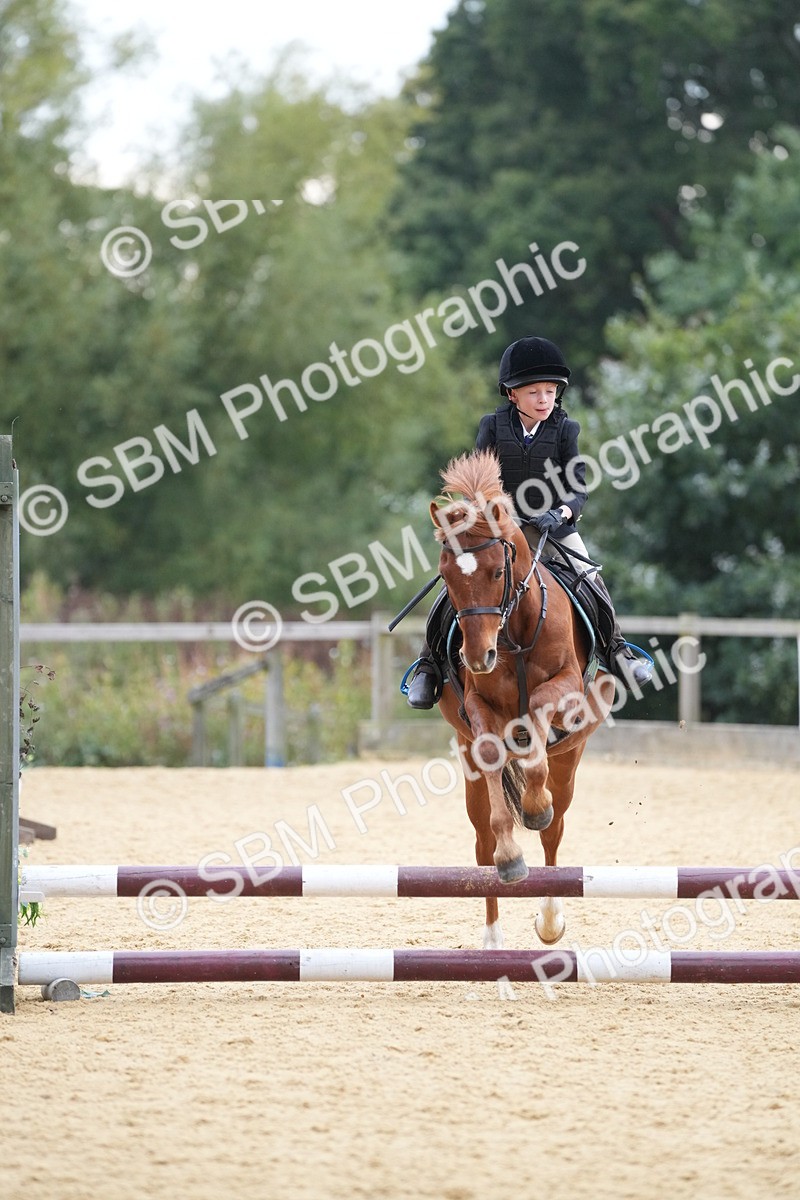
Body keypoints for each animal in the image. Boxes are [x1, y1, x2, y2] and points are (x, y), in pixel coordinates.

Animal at [429, 449, 616, 952]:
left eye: (498, 571)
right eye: (446, 576)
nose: (477, 658)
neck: (512, 635)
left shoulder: (567, 687)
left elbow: (536, 718)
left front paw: (534, 806)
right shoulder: (478, 709)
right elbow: (495, 755)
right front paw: (512, 857)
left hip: (570, 758)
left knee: (554, 827)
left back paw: (550, 919)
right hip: (470, 768)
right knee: (482, 844)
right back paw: (493, 939)